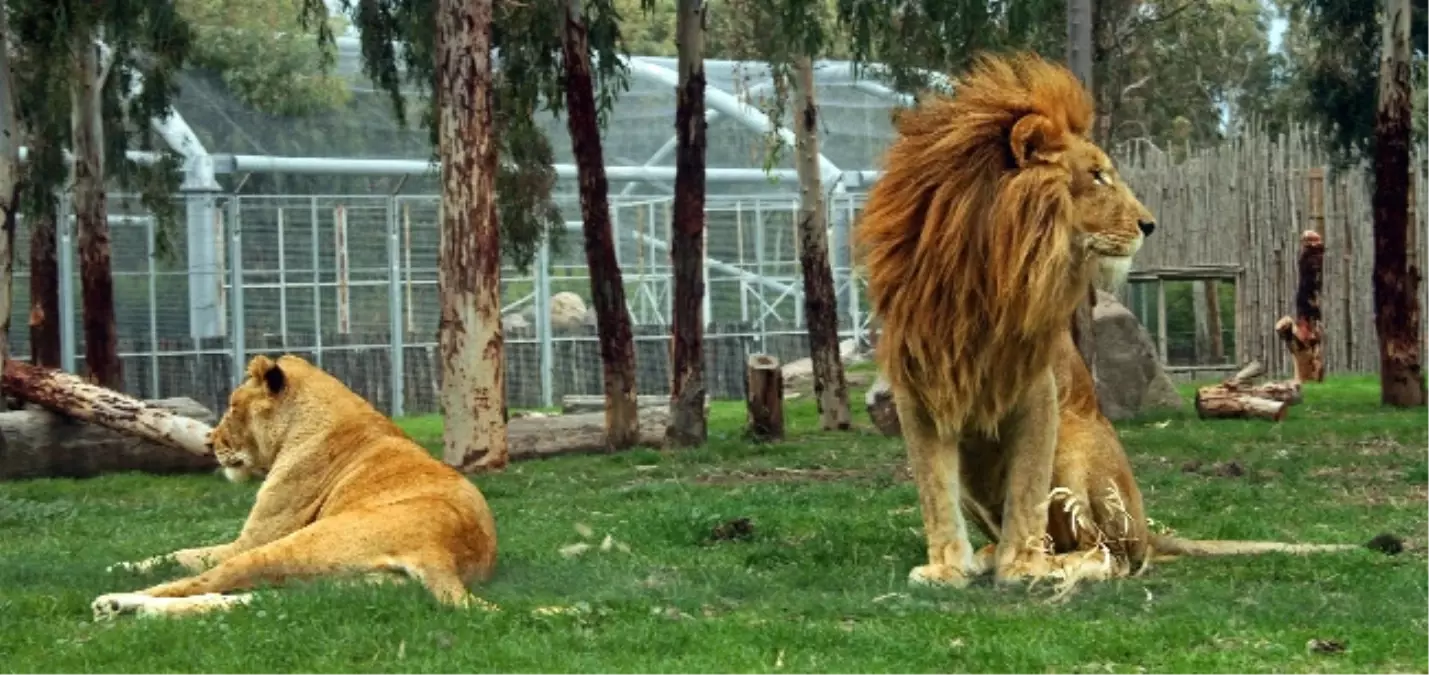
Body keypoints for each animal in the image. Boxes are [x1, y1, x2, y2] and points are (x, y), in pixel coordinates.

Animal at [90, 356, 497, 620]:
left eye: (232, 406)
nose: (210, 442)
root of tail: (442, 550)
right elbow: (177, 553)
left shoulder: (250, 540)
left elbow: (184, 553)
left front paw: (117, 567)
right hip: (330, 586)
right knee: (244, 598)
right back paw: (134, 608)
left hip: (286, 547)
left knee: (199, 582)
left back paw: (114, 600)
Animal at [845, 52, 1394, 589]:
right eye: (1097, 175)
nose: (1149, 225)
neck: (976, 267)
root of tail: (1148, 527)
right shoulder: (918, 387)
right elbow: (933, 492)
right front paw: (947, 568)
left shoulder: (1037, 388)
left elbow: (1027, 490)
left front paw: (1020, 567)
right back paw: (987, 556)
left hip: (1076, 445)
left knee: (1114, 553)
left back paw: (1054, 566)